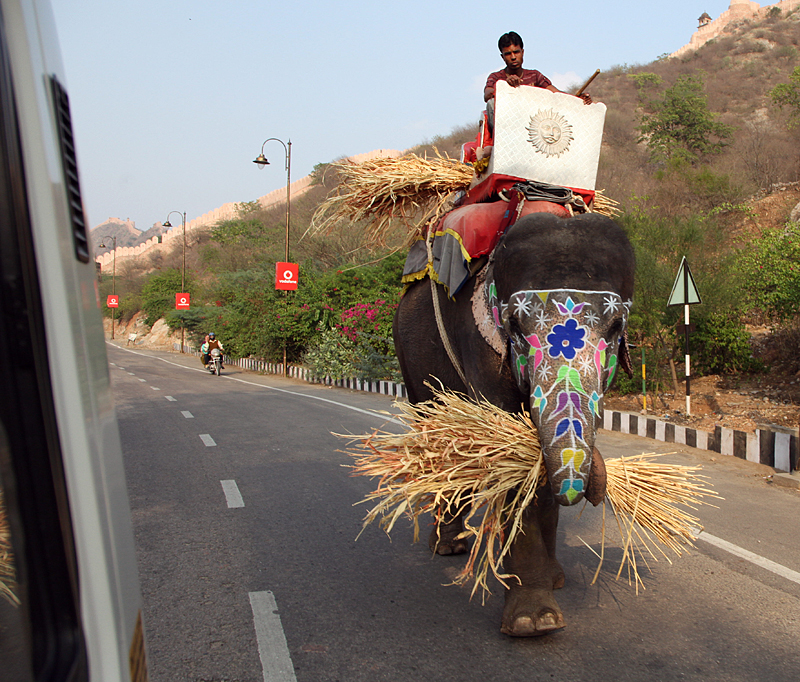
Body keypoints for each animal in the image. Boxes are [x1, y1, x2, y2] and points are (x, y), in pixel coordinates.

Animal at [390, 210, 636, 636]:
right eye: (516, 328)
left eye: (616, 327)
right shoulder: (481, 344)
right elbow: (514, 453)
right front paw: (534, 622)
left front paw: (555, 581)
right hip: (410, 352)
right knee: (438, 429)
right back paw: (447, 546)